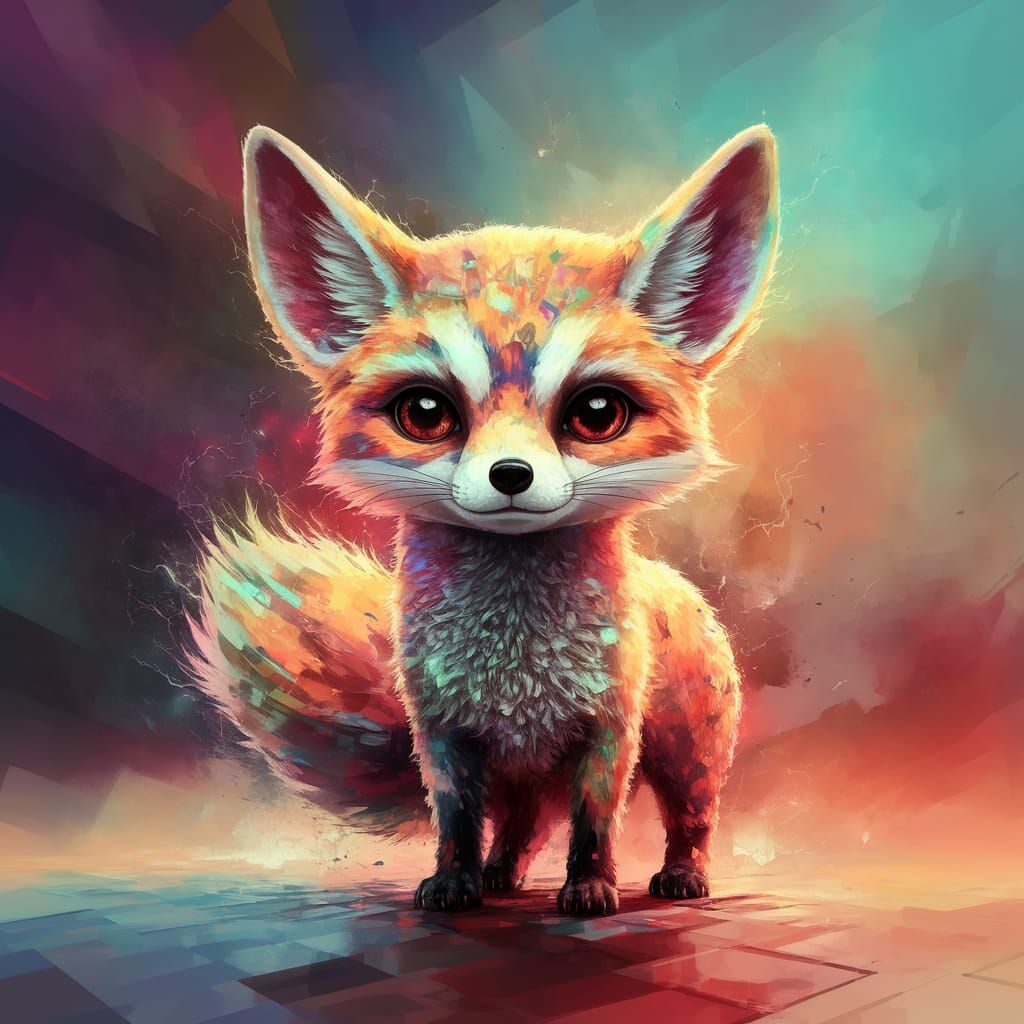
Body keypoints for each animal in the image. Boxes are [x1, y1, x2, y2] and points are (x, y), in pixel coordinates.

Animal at [189, 123, 780, 915]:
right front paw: (454, 882)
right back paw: (501, 875)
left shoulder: (608, 730)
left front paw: (590, 886)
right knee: (523, 825)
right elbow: (457, 820)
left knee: (691, 812)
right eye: (424, 412)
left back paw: (683, 874)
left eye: (597, 413)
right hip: (523, 771)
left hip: (690, 749)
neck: (515, 668)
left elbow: (595, 821)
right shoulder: (445, 736)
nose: (510, 476)